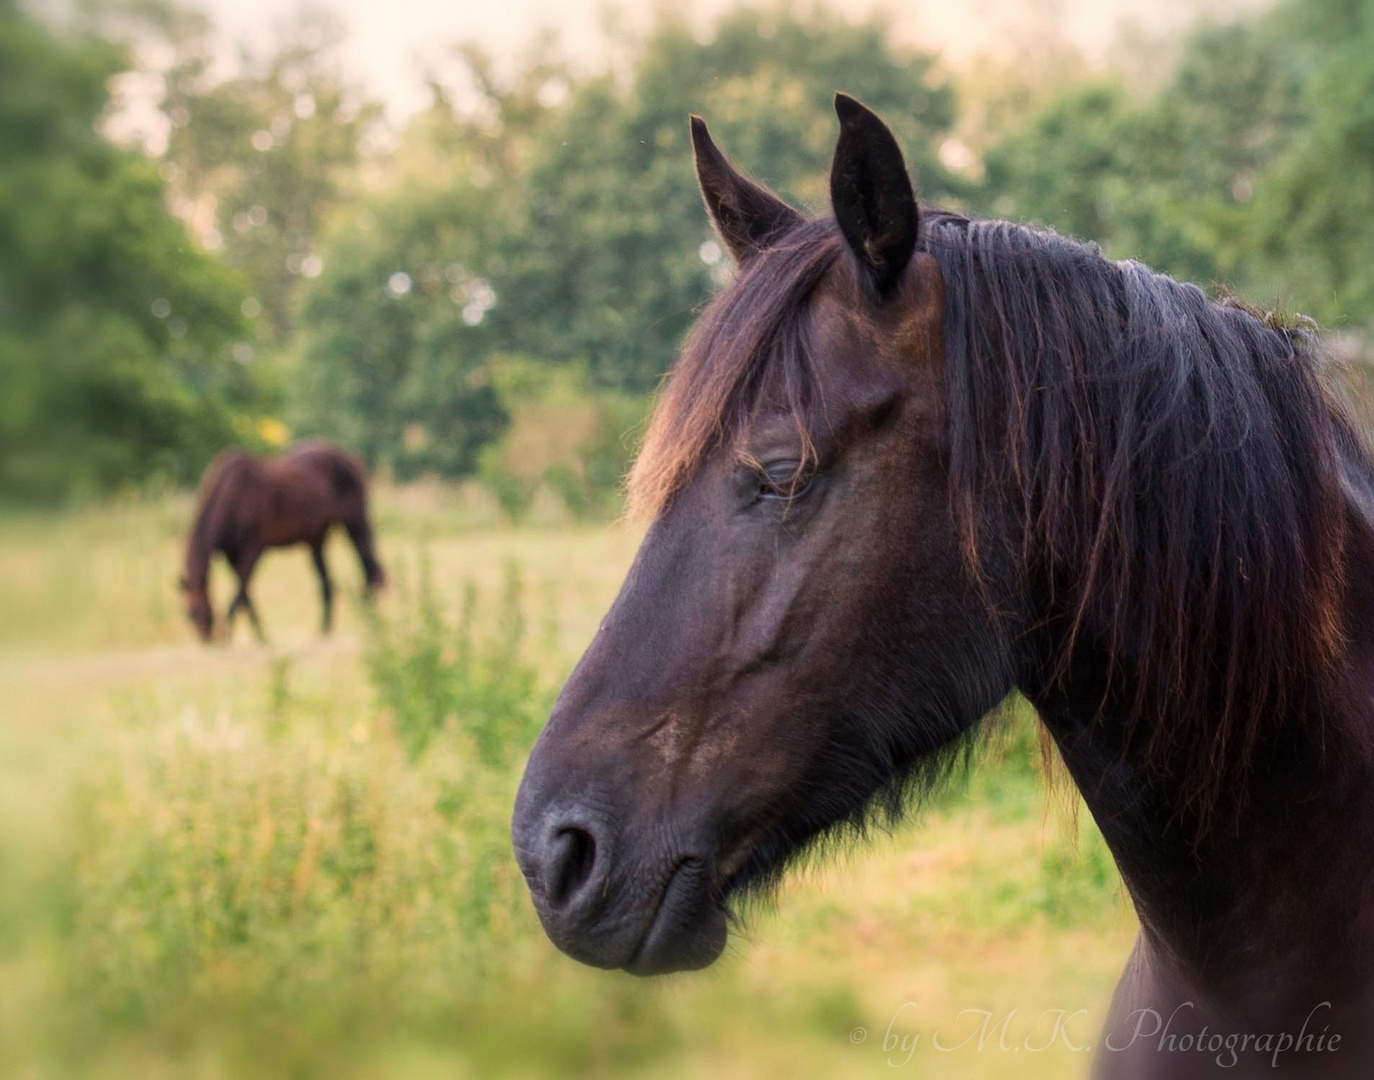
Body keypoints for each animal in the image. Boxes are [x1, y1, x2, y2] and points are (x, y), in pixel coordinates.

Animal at [181, 436, 387, 640]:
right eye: (188, 614)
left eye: (193, 612)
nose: (205, 639)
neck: (231, 495)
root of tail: (351, 460)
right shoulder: (232, 555)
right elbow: (245, 593)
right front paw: (260, 636)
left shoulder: (254, 549)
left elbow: (240, 590)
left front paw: (231, 635)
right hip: (316, 539)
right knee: (328, 582)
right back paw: (324, 630)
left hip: (355, 524)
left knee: (369, 567)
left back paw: (370, 619)